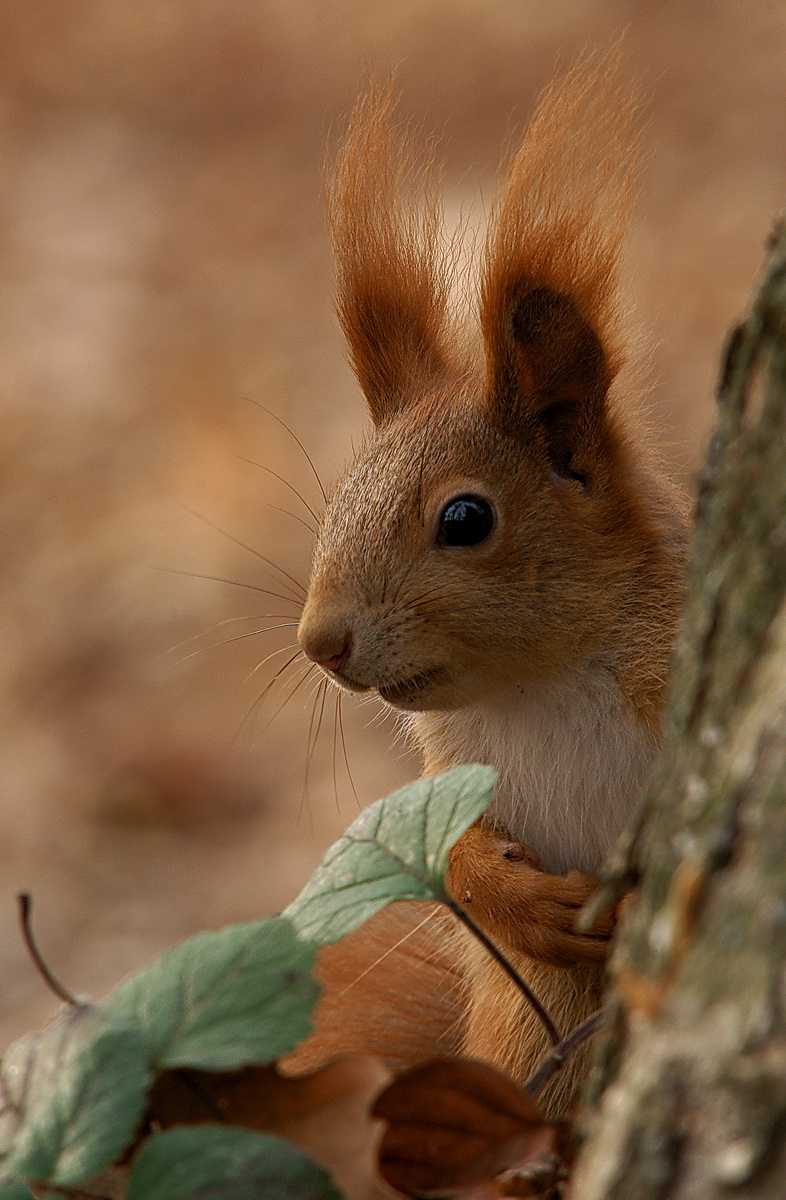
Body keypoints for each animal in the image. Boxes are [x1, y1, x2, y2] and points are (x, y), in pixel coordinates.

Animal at [287, 53, 688, 1115]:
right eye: (339, 498)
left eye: (464, 520)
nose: (320, 643)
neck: (538, 685)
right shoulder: (457, 764)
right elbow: (452, 852)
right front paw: (517, 899)